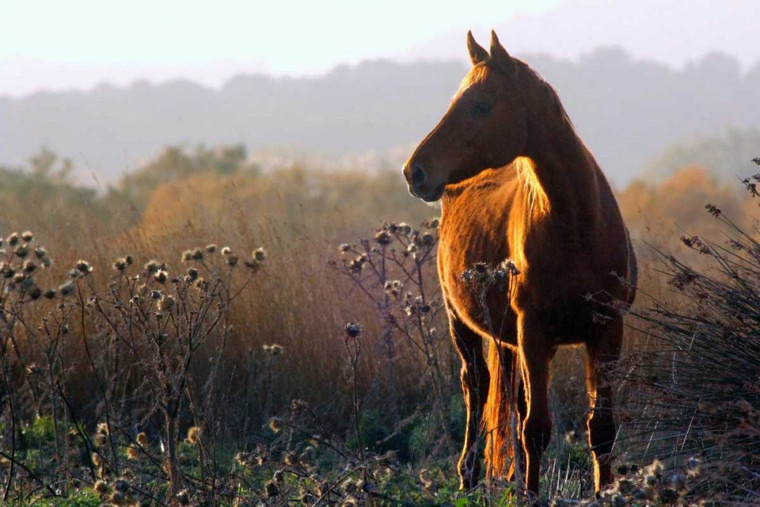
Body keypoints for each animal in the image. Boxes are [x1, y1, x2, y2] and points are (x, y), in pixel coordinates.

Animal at [400, 29, 640, 498]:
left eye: (480, 105)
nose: (414, 172)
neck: (575, 225)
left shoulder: (605, 330)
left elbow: (600, 428)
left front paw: (603, 492)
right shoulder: (534, 332)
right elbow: (536, 430)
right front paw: (531, 496)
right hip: (466, 327)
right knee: (477, 388)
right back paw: (469, 474)